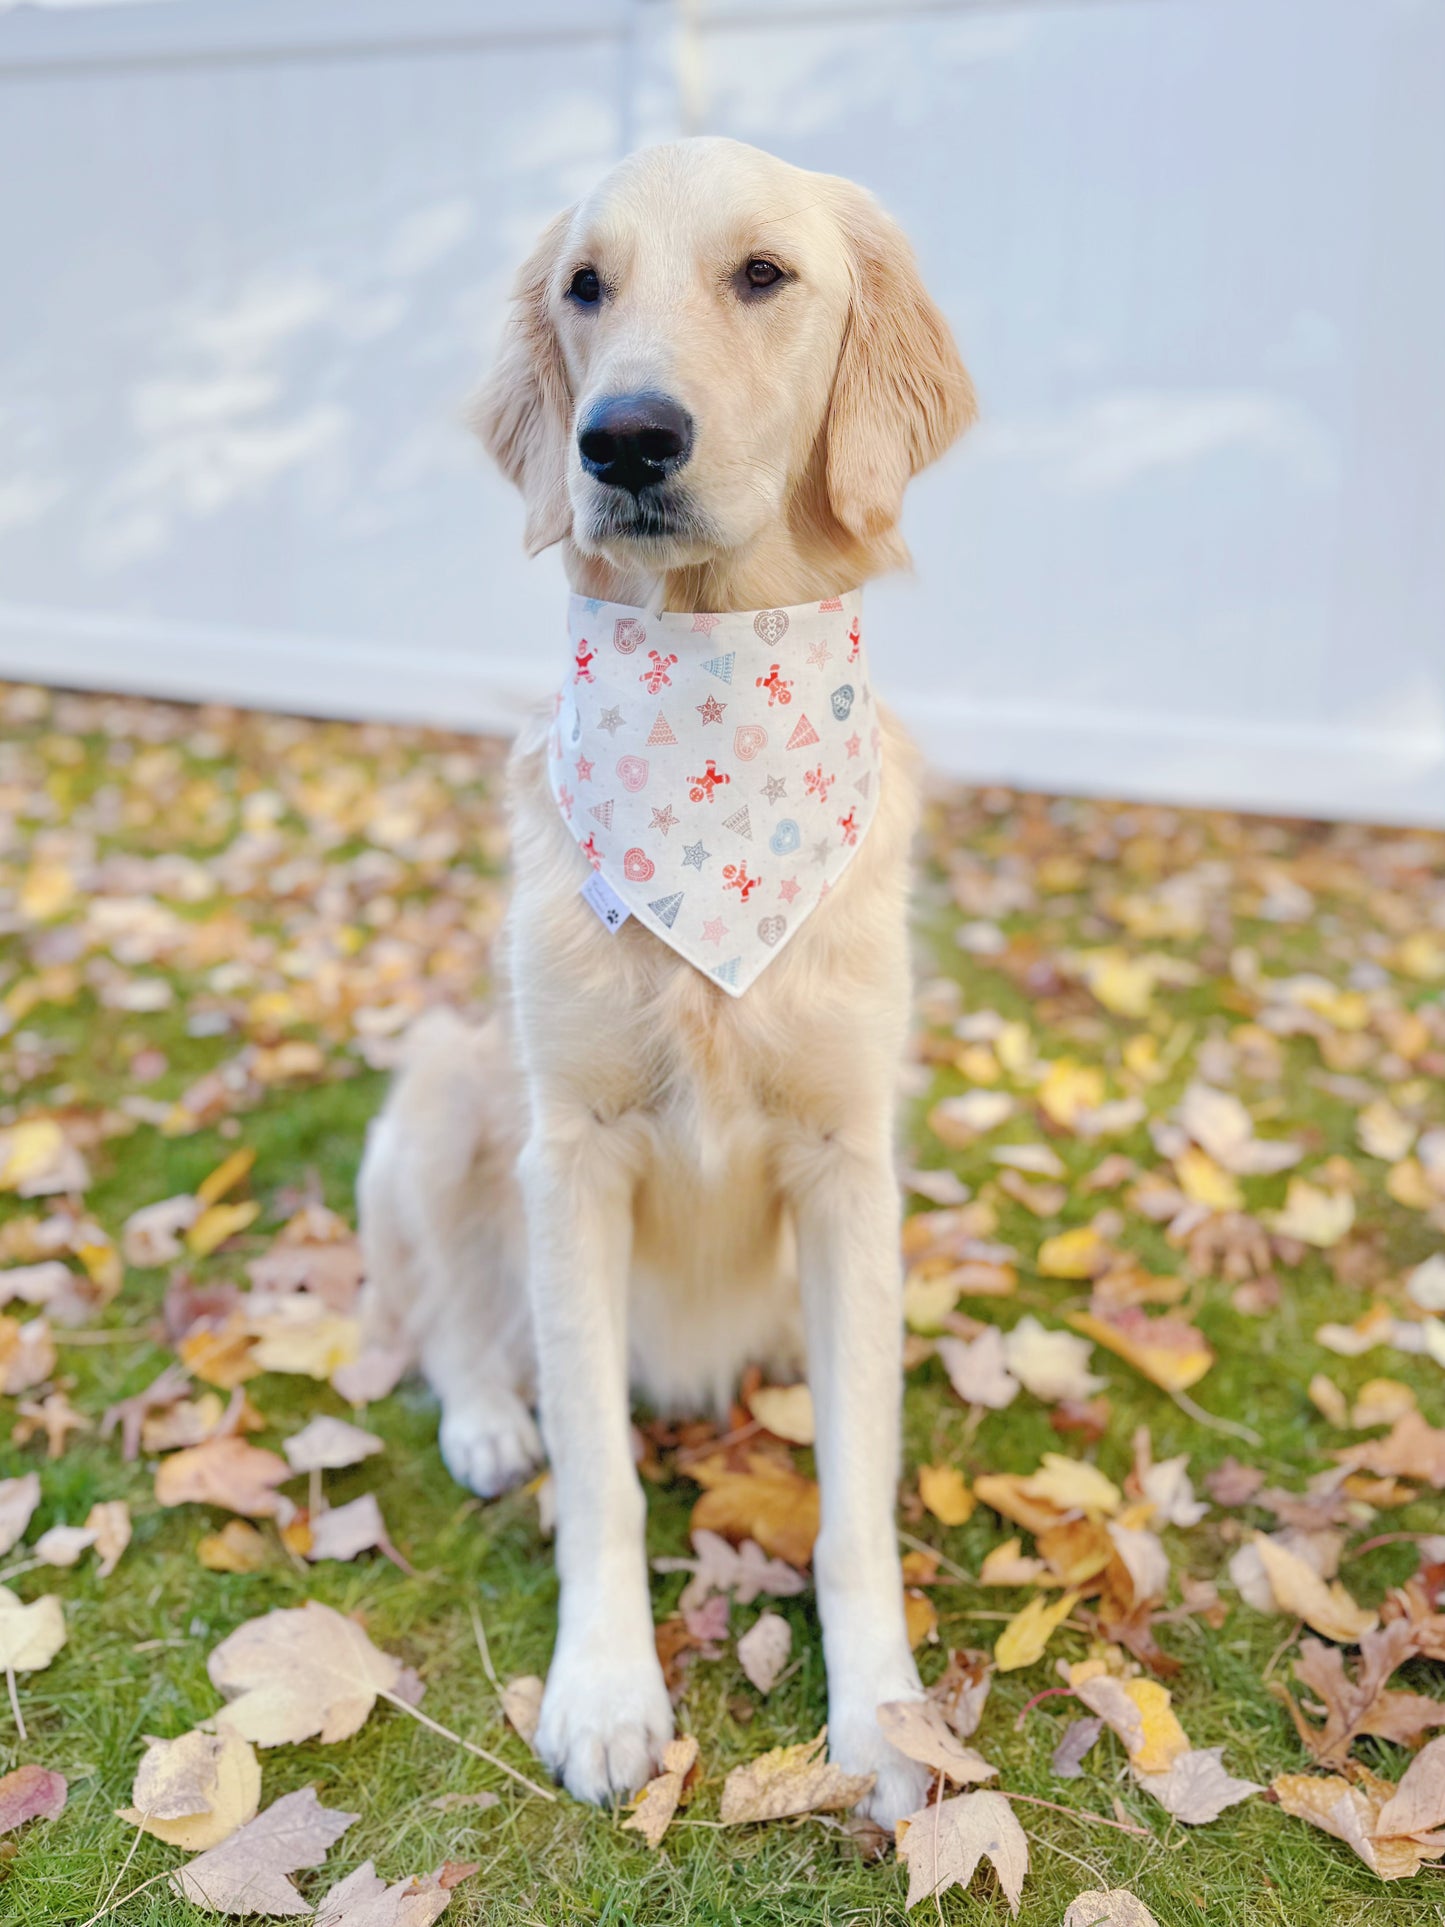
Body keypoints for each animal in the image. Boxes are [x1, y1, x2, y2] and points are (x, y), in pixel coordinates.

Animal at [358, 135, 978, 1819]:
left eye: (763, 274)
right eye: (586, 285)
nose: (624, 436)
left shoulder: (849, 1163)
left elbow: (854, 1493)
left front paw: (879, 1714)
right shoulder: (569, 1151)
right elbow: (598, 1471)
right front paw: (606, 1689)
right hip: (445, 1086)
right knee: (454, 1316)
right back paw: (485, 1416)